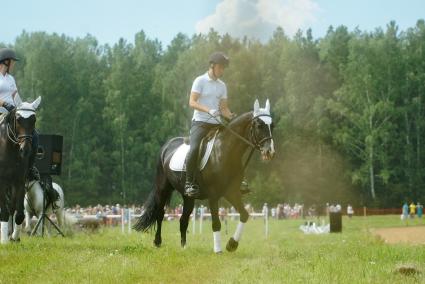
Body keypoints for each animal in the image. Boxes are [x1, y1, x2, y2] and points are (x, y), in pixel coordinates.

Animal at [0, 96, 41, 244]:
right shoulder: (2, 181)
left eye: (33, 120)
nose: (25, 150)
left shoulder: (19, 181)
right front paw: (4, 240)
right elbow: (4, 211)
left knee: (12, 207)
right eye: (18, 119)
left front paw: (14, 236)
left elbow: (19, 213)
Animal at [135, 99, 274, 253]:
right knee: (160, 214)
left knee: (183, 219)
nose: (269, 152)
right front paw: (218, 250)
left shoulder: (232, 192)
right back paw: (157, 242)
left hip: (188, 197)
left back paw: (184, 246)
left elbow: (244, 214)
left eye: (272, 125)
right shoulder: (213, 196)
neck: (225, 151)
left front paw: (232, 244)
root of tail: (166, 146)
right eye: (259, 125)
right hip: (163, 188)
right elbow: (216, 223)